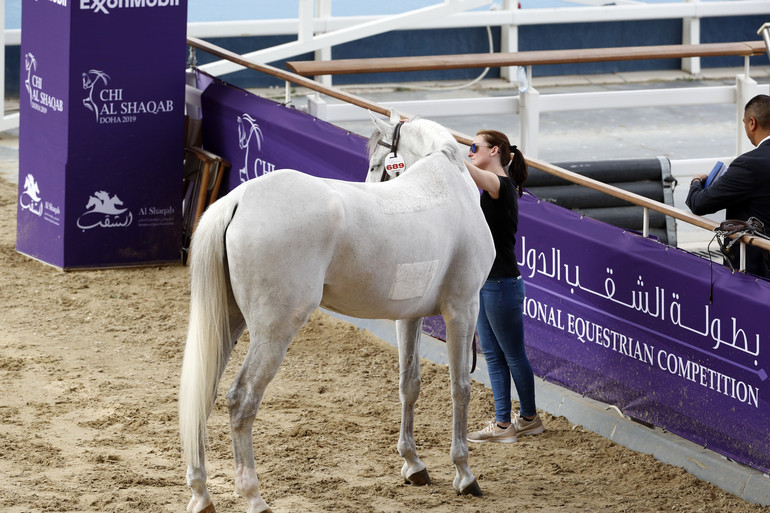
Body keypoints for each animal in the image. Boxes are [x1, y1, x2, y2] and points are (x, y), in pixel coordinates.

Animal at [178, 111, 496, 512]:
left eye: (377, 164)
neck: (447, 183)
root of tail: (237, 200)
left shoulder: (410, 315)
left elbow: (409, 385)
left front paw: (413, 464)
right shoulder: (463, 308)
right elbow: (460, 388)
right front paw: (464, 473)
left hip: (228, 323)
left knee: (202, 394)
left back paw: (201, 493)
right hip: (273, 332)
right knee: (241, 399)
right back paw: (253, 496)